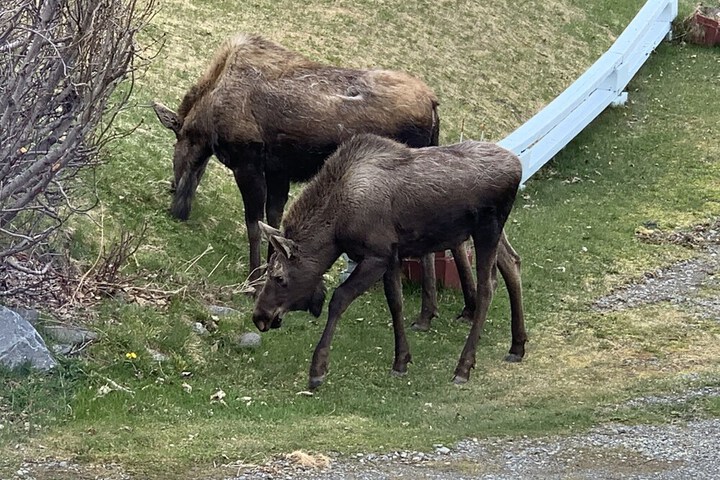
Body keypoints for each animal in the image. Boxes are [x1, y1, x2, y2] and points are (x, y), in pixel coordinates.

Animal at [255, 133, 528, 388]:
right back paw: (517, 345)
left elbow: (339, 298)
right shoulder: (392, 255)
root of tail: (518, 165)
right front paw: (401, 360)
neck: (335, 230)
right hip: (490, 232)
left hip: (487, 228)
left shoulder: (377, 255)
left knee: (487, 287)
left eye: (279, 277)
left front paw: (317, 369)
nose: (259, 316)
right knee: (512, 263)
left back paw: (464, 366)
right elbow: (395, 303)